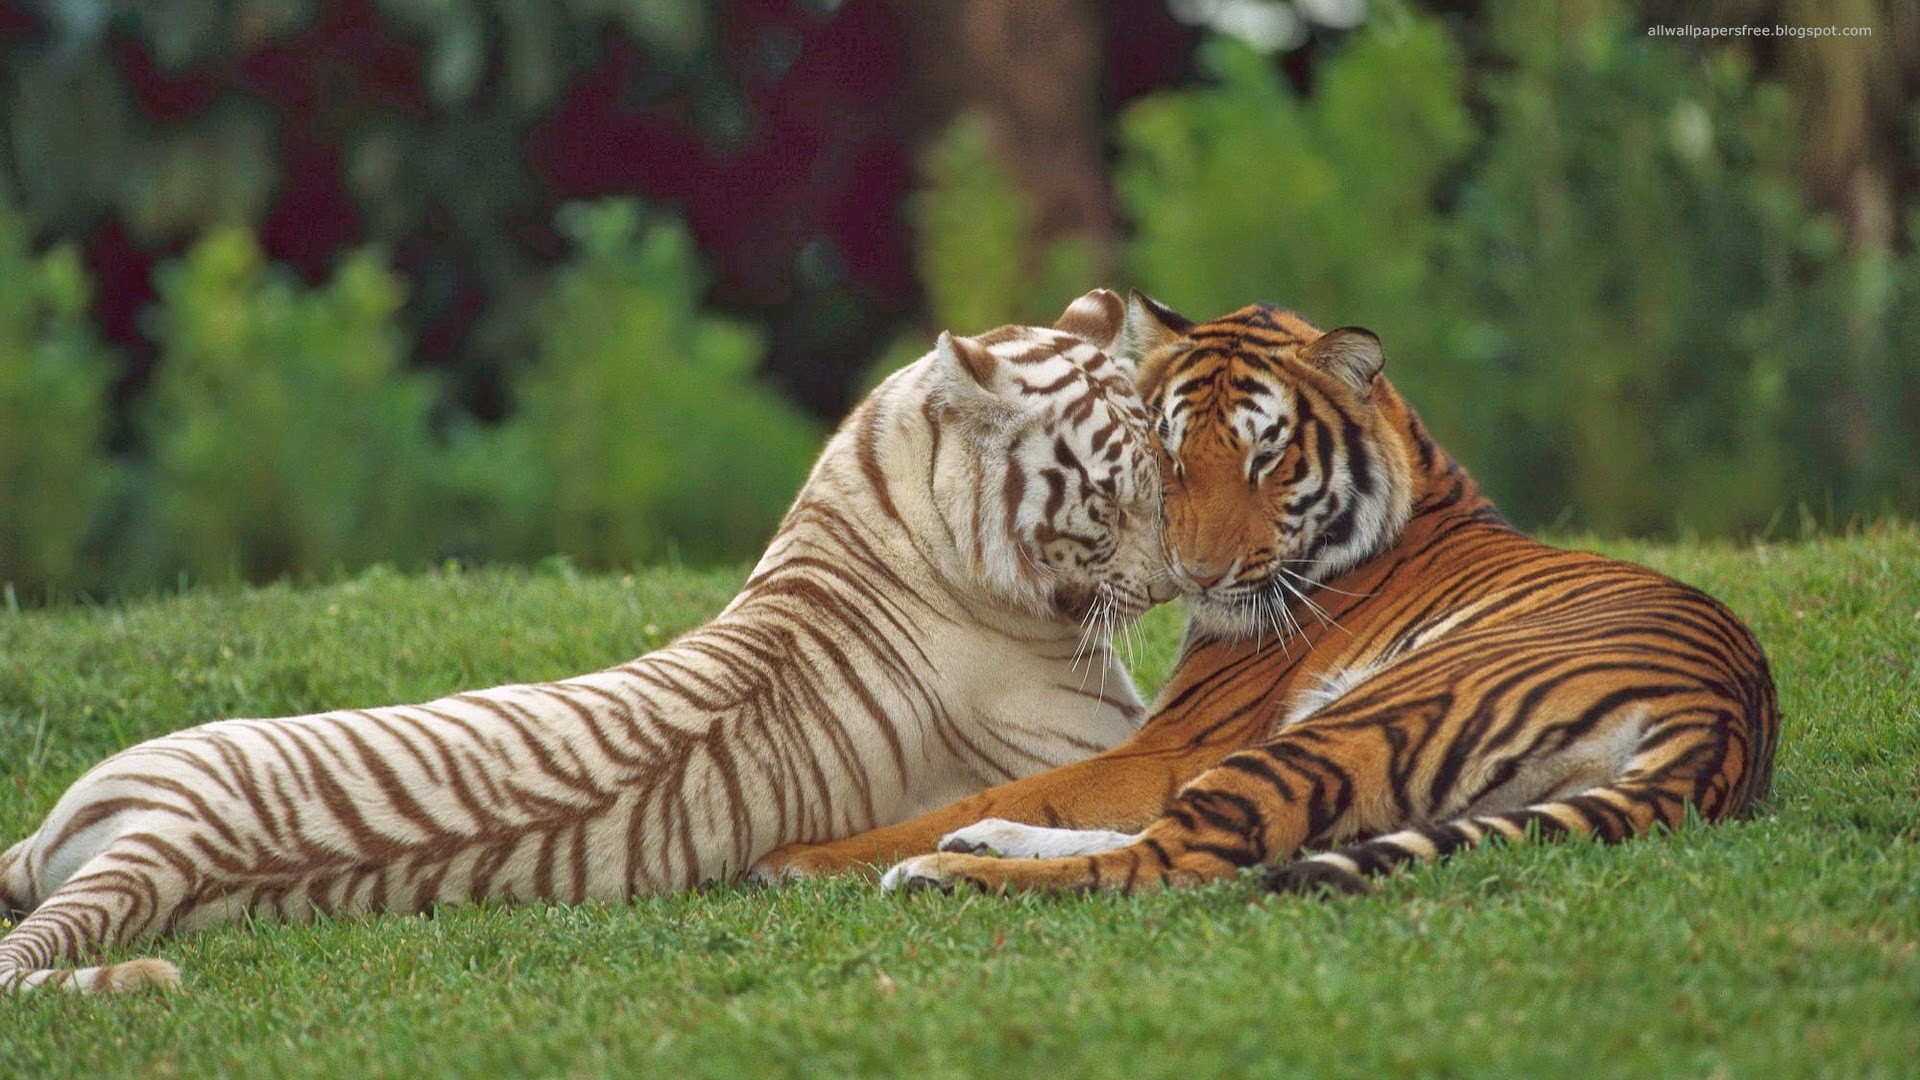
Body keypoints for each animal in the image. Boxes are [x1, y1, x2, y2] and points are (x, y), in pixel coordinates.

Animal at [750, 294, 1780, 896]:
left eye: (1266, 458)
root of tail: (1724, 721)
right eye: (1169, 454)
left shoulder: (1179, 742)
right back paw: (975, 849)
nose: (1194, 576)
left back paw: (935, 871)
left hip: (1349, 724)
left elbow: (1018, 787)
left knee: (1172, 858)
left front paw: (804, 857)